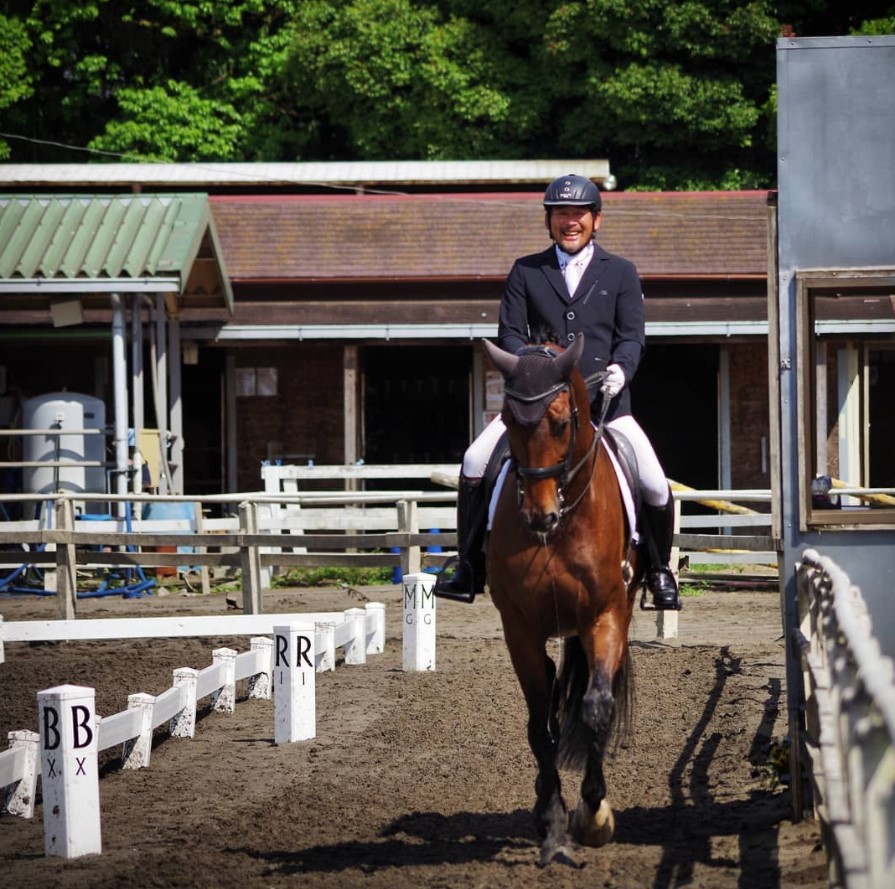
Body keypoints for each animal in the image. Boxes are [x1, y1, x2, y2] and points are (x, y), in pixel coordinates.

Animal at [483, 334, 642, 866]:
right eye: (507, 421)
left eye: (561, 422)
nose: (540, 517)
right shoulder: (520, 628)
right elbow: (539, 726)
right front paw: (553, 827)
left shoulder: (605, 614)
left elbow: (596, 707)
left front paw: (593, 816)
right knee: (550, 702)